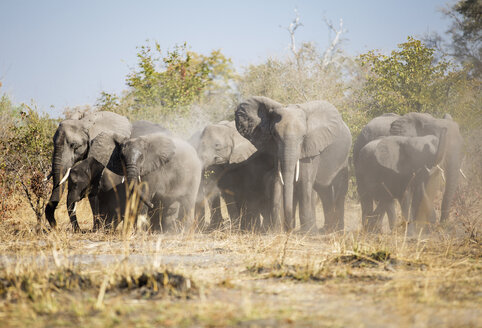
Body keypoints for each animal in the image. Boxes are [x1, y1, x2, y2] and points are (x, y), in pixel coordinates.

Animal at [235, 96, 352, 232]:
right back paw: (326, 229)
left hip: (343, 160)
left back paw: (335, 230)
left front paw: (307, 233)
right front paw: (276, 231)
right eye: (274, 135)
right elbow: (277, 180)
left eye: (303, 137)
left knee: (338, 191)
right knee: (324, 192)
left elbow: (304, 182)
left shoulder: (312, 148)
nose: (288, 228)